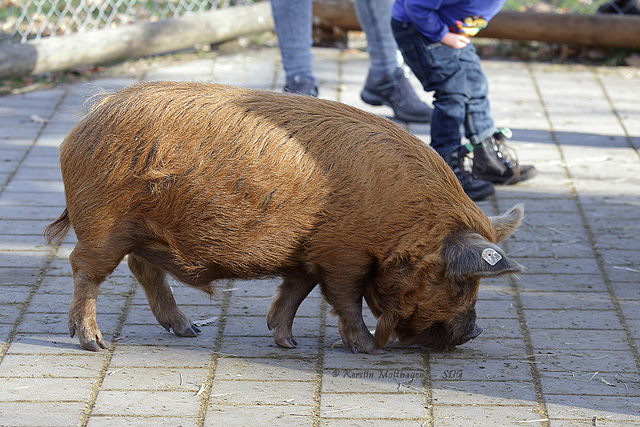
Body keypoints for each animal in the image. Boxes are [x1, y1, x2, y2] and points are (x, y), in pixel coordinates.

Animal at [46, 80, 524, 354]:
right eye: (461, 282)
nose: (475, 332)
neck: (406, 223)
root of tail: (86, 119)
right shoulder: (344, 254)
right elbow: (345, 299)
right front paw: (366, 348)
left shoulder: (308, 254)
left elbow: (295, 292)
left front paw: (286, 343)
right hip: (103, 222)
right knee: (84, 267)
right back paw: (93, 343)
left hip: (142, 231)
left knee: (143, 269)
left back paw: (189, 331)